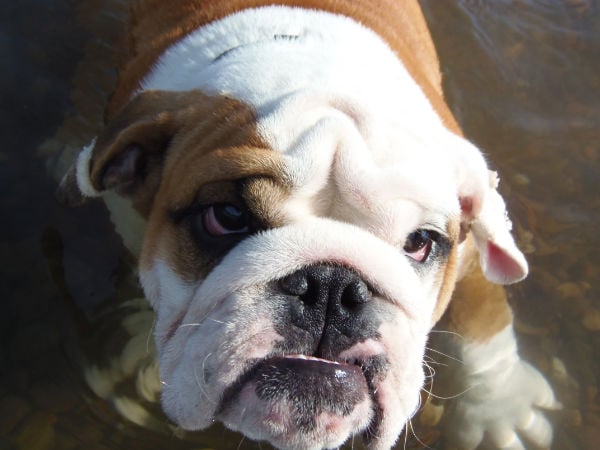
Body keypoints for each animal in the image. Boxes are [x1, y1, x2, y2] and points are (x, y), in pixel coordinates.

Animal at [57, 1, 557, 449]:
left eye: (420, 242)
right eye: (226, 217)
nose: (332, 285)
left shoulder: (471, 254)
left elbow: (483, 318)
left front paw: (501, 408)